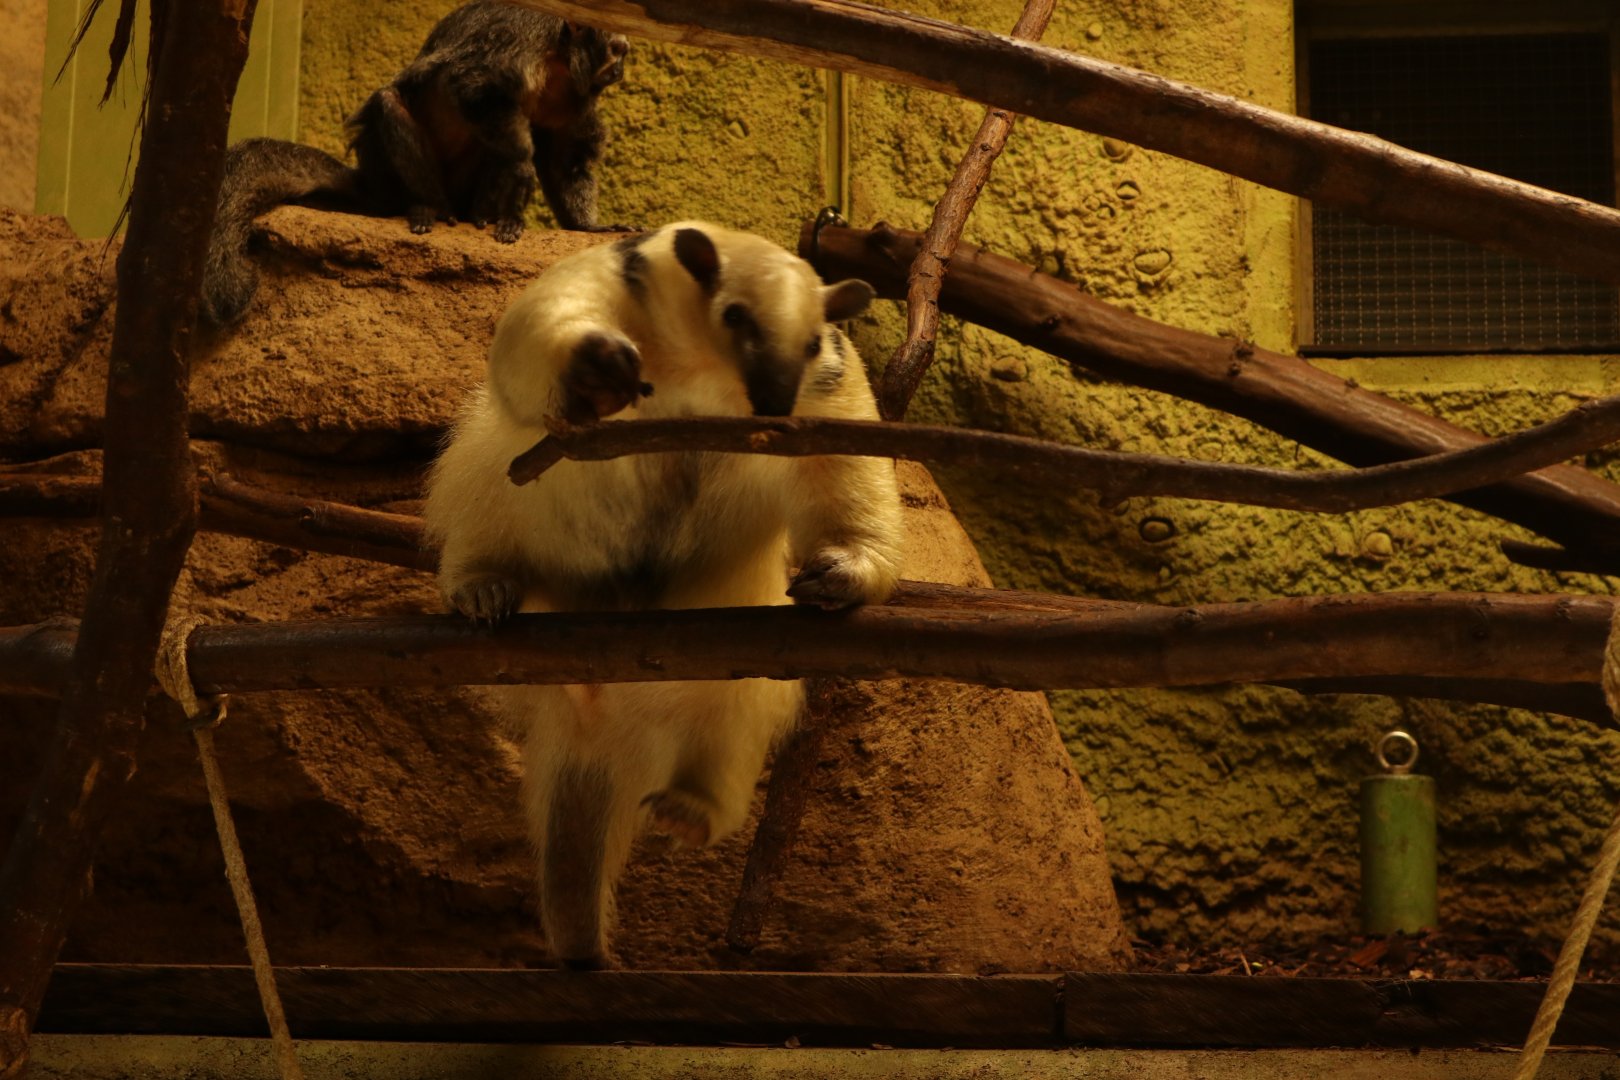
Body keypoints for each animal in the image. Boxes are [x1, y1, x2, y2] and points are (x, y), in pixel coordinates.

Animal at [201, 0, 630, 326]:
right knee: (393, 103)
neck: (557, 60)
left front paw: (588, 226)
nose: (622, 68)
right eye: (618, 50)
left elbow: (566, 160)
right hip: (388, 171)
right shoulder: (521, 36)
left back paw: (489, 216)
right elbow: (472, 84)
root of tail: (373, 184)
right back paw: (430, 208)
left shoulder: (573, 97)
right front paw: (523, 165)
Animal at [421, 221, 904, 969]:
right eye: (734, 315)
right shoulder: (620, 284)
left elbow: (844, 451)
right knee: (487, 482)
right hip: (503, 493)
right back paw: (484, 587)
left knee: (737, 715)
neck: (702, 373)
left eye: (811, 341)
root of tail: (599, 716)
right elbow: (537, 330)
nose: (774, 405)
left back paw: (690, 809)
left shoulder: (827, 384)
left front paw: (838, 572)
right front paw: (595, 368)